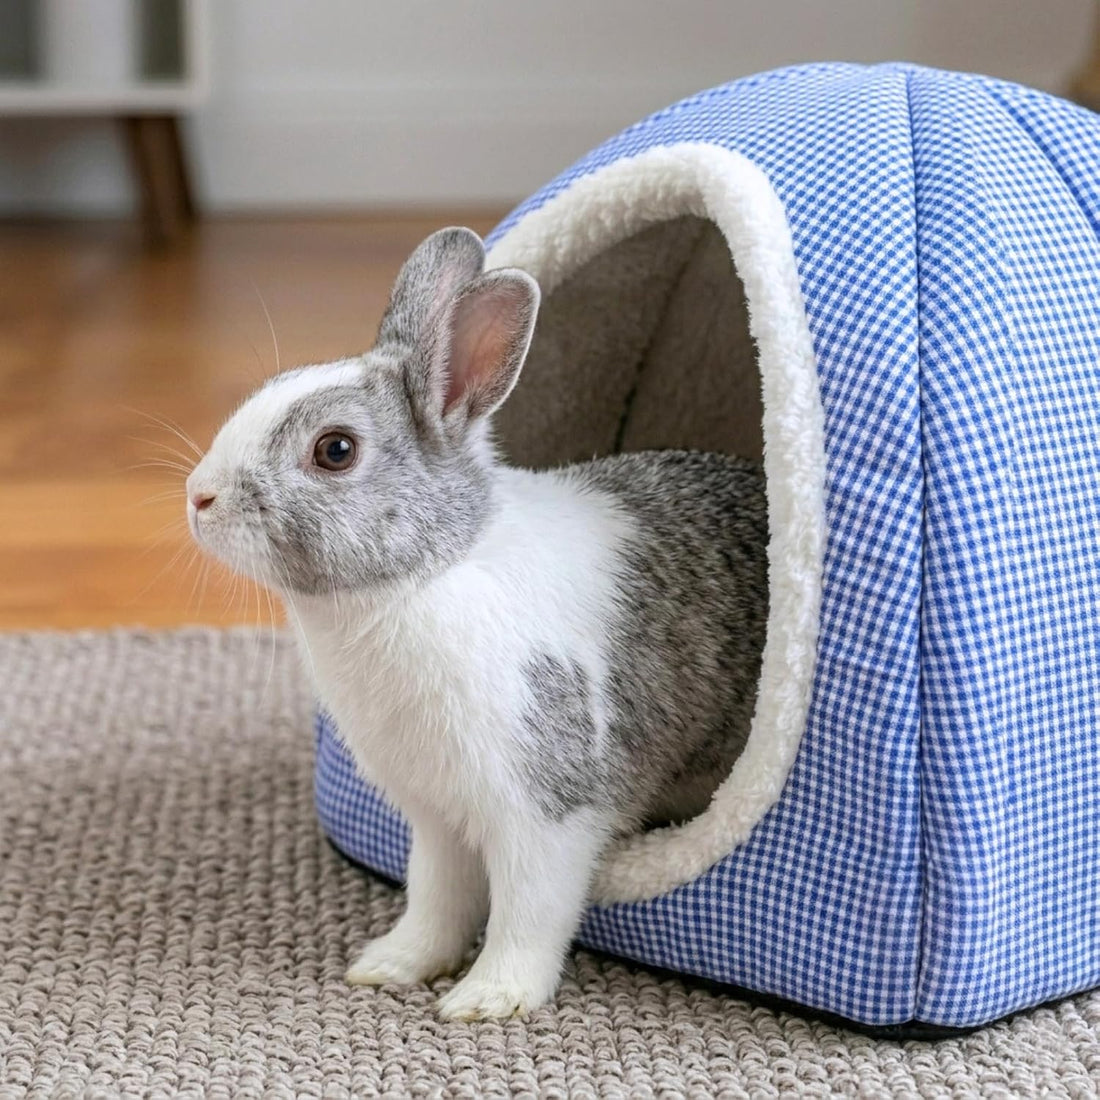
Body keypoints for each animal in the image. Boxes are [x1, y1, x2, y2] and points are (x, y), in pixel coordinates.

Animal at [185, 227, 768, 1021]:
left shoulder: (543, 811)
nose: (198, 497)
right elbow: (437, 897)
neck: (426, 574)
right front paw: (392, 965)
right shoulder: (436, 817)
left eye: (335, 450)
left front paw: (489, 1000)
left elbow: (529, 909)